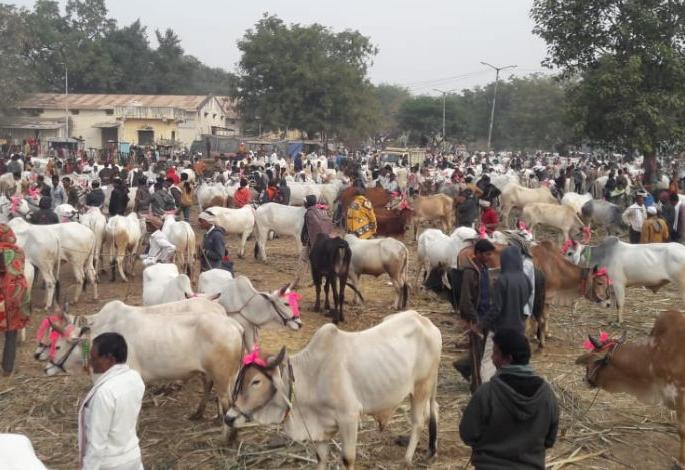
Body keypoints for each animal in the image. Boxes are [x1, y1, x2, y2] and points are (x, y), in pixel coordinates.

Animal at [38, 299, 244, 438]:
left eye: (57, 346)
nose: (45, 368)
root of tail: (233, 324)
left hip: (222, 377)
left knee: (227, 403)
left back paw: (228, 437)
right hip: (219, 375)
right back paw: (199, 414)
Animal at [224, 310, 441, 469]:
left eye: (256, 381)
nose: (228, 418)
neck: (312, 376)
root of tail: (425, 321)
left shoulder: (349, 417)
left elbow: (348, 459)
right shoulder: (320, 429)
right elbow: (321, 459)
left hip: (421, 387)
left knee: (418, 422)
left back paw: (407, 459)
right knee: (434, 410)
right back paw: (431, 450)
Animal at [575, 311, 685, 465]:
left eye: (594, 358)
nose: (584, 379)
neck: (655, 354)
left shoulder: (680, 393)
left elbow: (681, 430)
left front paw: (681, 462)